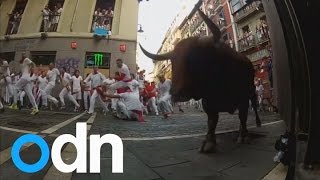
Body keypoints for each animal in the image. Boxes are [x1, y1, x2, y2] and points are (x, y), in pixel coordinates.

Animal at [141, 8, 262, 152]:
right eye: (173, 62)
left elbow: (242, 116)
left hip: (252, 91)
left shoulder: (242, 98)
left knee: (253, 106)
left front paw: (243, 136)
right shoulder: (208, 102)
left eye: (195, 58)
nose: (176, 93)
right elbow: (212, 121)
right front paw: (209, 142)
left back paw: (255, 124)